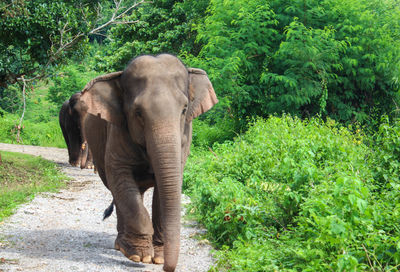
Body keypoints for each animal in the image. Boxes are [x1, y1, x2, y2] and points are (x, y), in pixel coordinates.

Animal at [79, 54, 219, 270]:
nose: (167, 268)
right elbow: (120, 177)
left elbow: (167, 187)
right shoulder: (117, 132)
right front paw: (141, 257)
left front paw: (158, 257)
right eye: (138, 112)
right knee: (118, 190)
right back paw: (123, 246)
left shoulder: (186, 137)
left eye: (184, 109)